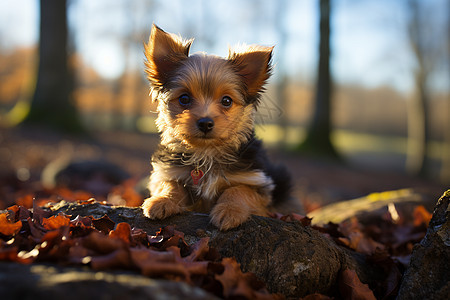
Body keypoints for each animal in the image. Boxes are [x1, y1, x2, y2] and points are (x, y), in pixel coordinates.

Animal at [142, 25, 294, 230]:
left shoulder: (256, 183)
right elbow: (171, 184)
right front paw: (161, 200)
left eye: (227, 101)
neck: (206, 153)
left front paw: (229, 211)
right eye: (184, 98)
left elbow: (238, 190)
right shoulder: (168, 172)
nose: (205, 123)